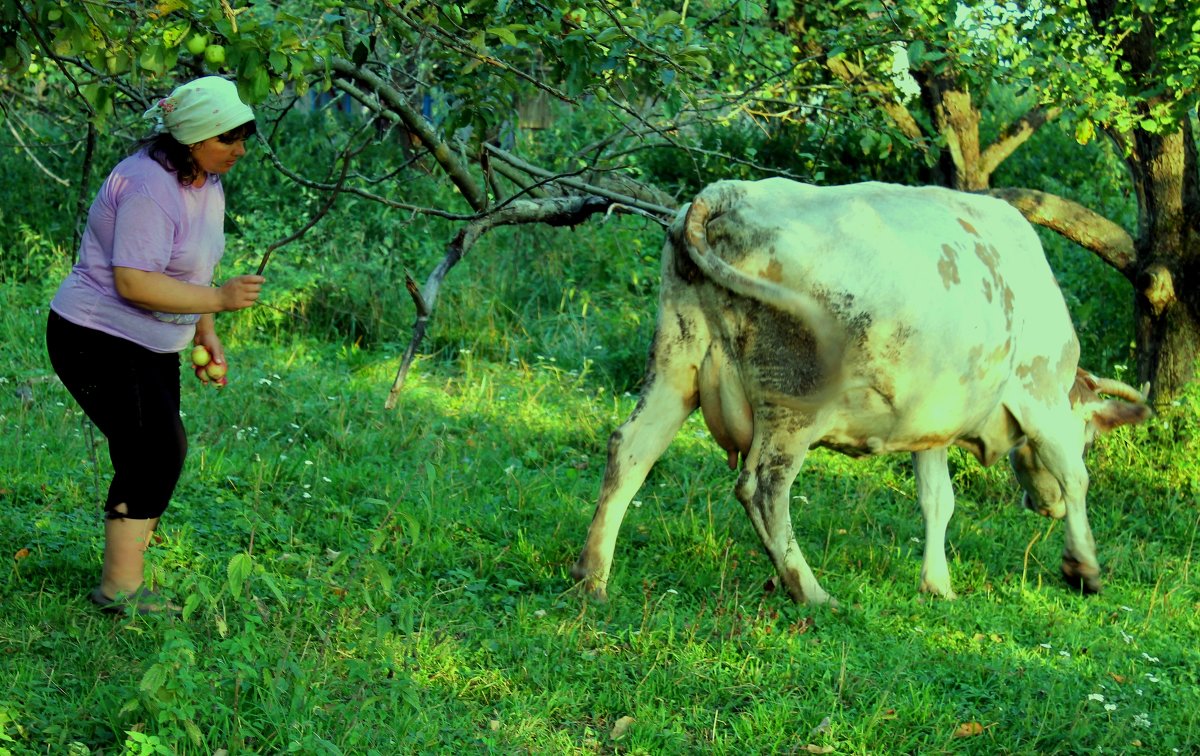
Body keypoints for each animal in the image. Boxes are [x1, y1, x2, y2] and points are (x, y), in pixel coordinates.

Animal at [571, 176, 1152, 604]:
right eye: (1091, 437)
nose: (1040, 506)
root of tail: (728, 192)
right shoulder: (1042, 393)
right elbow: (1075, 478)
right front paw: (1083, 567)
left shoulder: (932, 423)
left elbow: (938, 500)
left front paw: (937, 585)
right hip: (792, 401)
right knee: (762, 487)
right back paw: (810, 591)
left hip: (677, 362)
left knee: (631, 450)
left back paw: (592, 576)